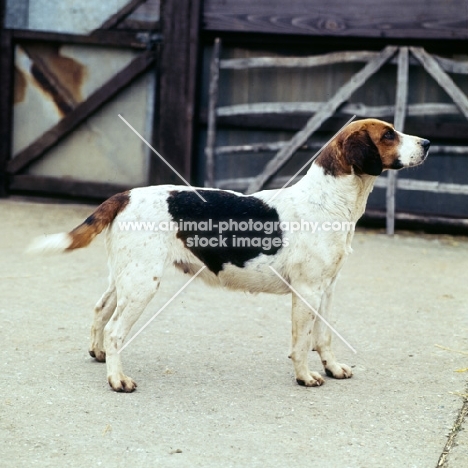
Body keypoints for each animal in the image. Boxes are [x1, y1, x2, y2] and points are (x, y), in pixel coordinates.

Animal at [28, 119, 432, 392]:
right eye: (388, 135)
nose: (428, 142)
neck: (328, 200)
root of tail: (124, 195)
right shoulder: (307, 292)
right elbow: (302, 343)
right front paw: (305, 377)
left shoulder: (327, 290)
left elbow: (324, 337)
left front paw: (333, 368)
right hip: (142, 284)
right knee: (114, 331)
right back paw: (117, 379)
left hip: (125, 279)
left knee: (100, 312)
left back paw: (98, 356)